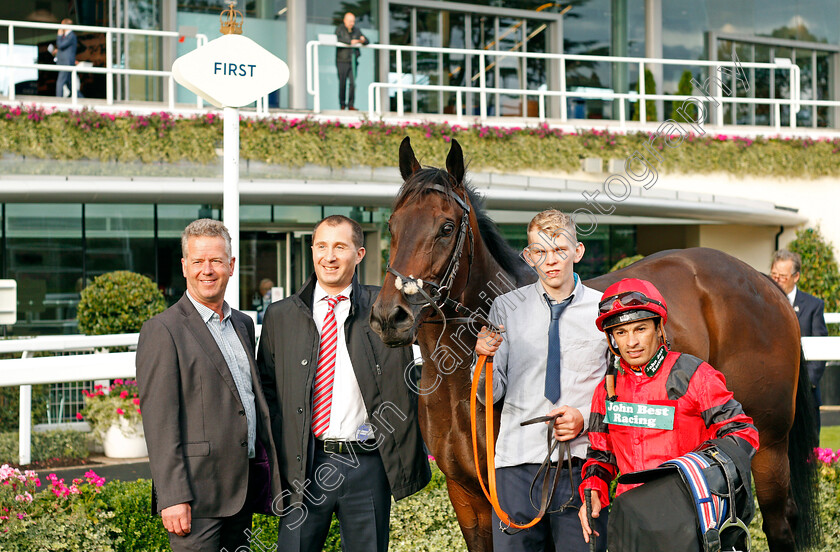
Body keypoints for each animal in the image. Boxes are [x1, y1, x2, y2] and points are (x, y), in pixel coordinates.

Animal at [370, 137, 816, 552]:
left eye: (446, 228)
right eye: (392, 225)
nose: (390, 317)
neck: (460, 385)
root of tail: (766, 283)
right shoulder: (467, 496)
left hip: (767, 445)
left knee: (778, 524)